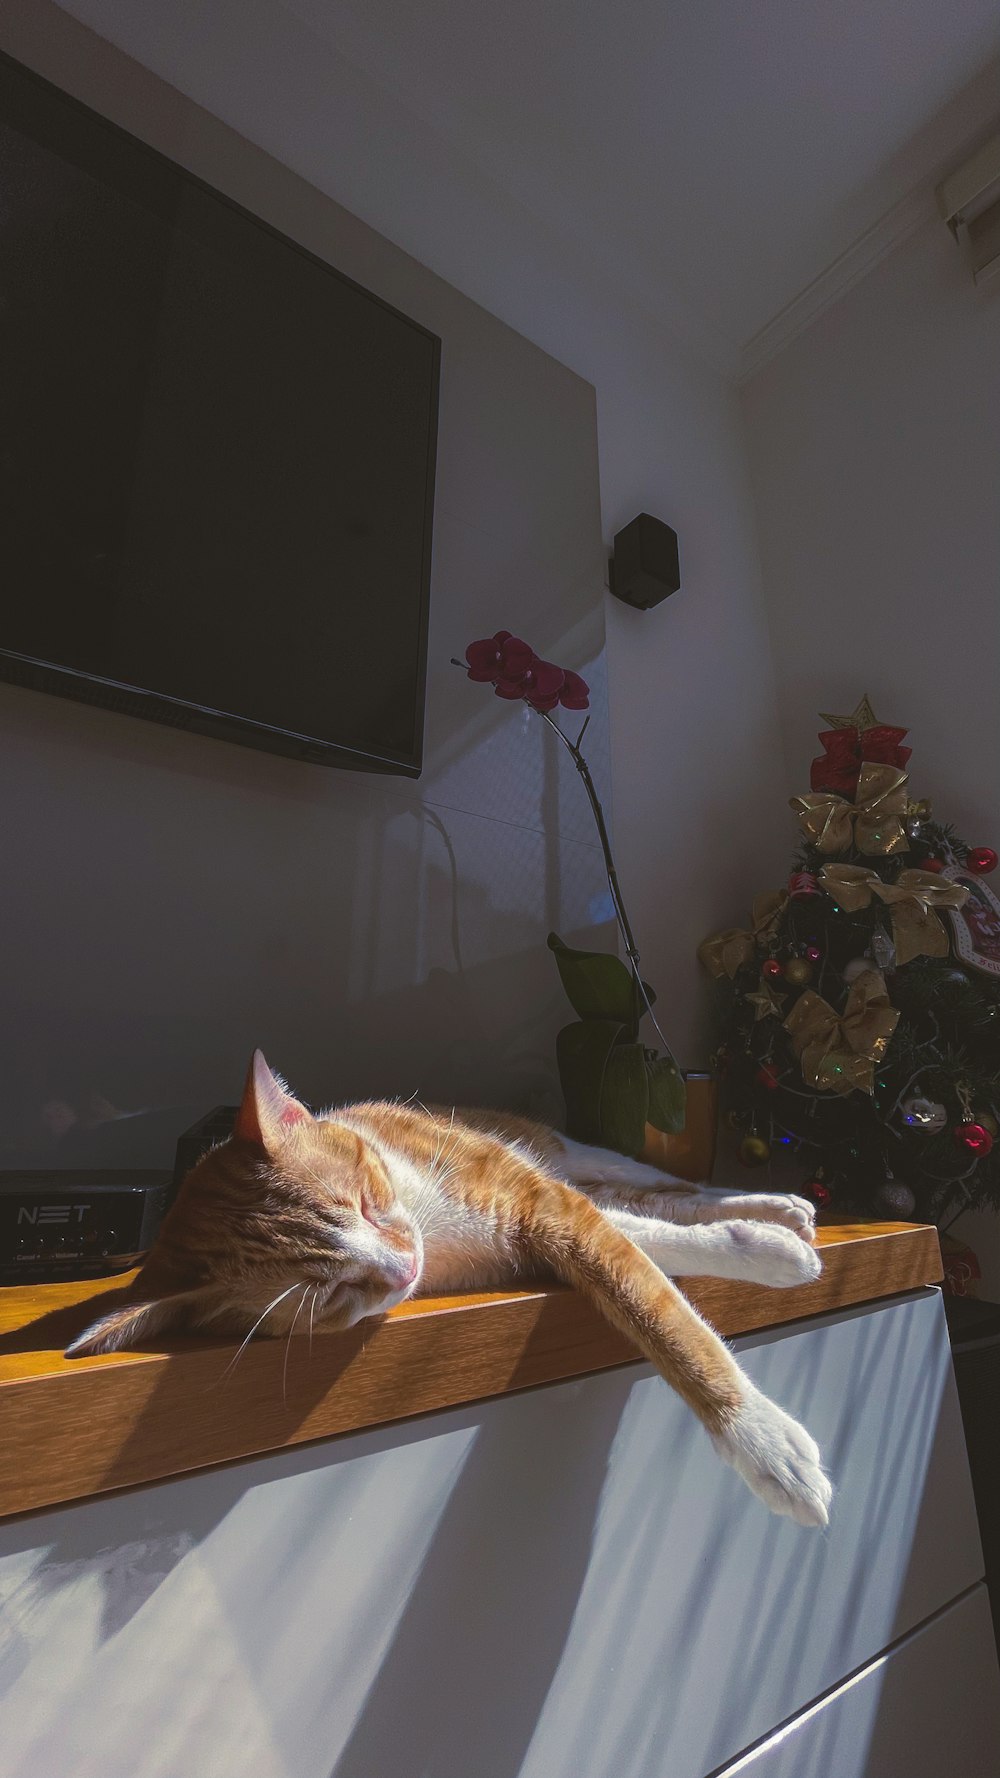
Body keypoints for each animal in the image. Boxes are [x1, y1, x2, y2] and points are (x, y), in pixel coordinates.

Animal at [64, 1052, 825, 1529]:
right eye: (330, 1294)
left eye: (367, 1202)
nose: (403, 1269)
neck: (434, 1232)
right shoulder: (539, 1231)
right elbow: (644, 1247)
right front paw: (766, 1250)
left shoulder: (541, 1203)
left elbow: (656, 1300)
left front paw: (766, 1441)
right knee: (650, 1200)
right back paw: (781, 1220)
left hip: (576, 1154)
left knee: (670, 1183)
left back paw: (781, 1205)